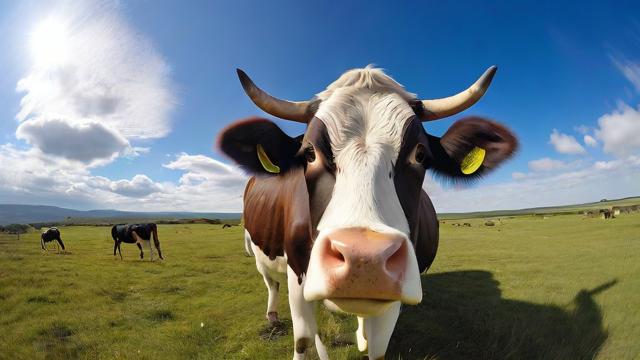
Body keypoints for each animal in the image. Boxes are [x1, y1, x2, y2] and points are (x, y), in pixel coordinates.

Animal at [218, 65, 516, 360]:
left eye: (420, 155)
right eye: (309, 154)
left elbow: (377, 349)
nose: (364, 259)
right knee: (272, 284)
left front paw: (364, 340)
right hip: (258, 252)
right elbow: (302, 339)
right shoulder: (297, 274)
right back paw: (273, 316)